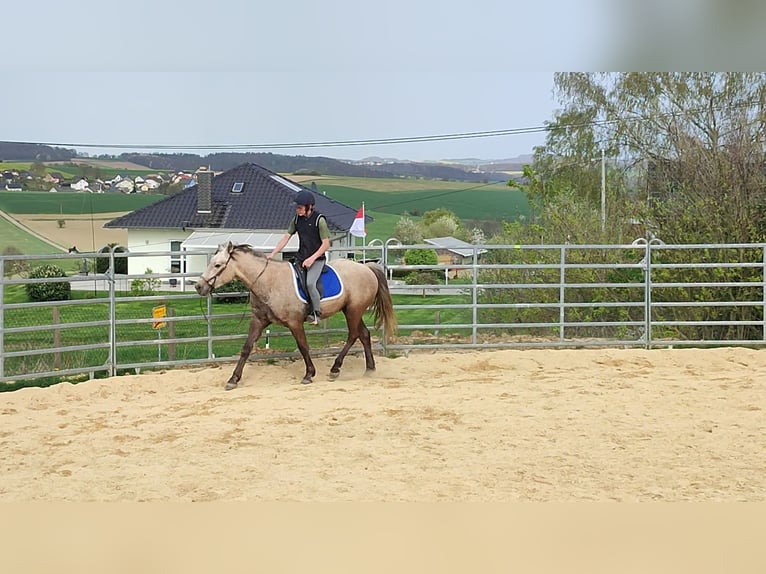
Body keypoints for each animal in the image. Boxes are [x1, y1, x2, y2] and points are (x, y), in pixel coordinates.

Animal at [195, 243, 400, 392]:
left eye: (218, 265)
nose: (199, 286)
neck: (268, 281)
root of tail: (366, 268)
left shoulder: (294, 323)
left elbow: (303, 347)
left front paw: (309, 374)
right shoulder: (259, 321)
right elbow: (246, 348)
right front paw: (233, 379)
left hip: (353, 311)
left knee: (353, 335)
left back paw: (335, 368)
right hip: (352, 310)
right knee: (363, 334)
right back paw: (369, 369)